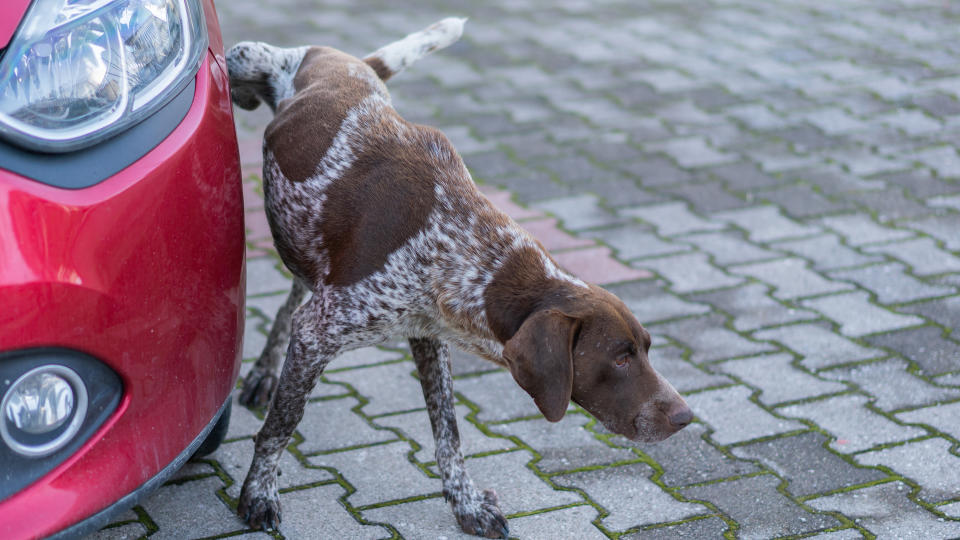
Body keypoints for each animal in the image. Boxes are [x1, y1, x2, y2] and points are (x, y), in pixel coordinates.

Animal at [225, 19, 688, 536]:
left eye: (646, 348)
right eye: (621, 357)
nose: (686, 416)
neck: (475, 256)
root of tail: (338, 59)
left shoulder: (428, 336)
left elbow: (448, 431)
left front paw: (465, 503)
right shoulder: (321, 331)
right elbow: (282, 425)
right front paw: (259, 491)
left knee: (290, 300)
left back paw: (265, 372)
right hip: (242, 57)